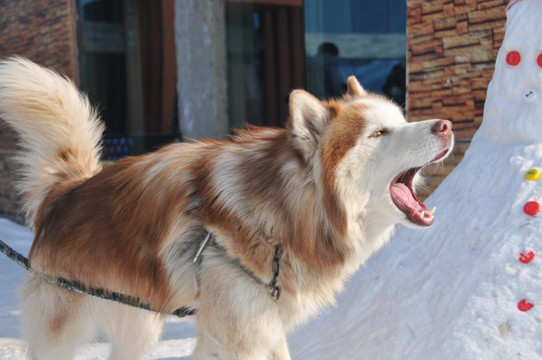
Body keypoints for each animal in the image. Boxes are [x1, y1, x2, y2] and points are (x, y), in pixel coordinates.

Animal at [0, 57, 454, 358]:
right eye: (378, 133)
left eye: (401, 119)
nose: (446, 124)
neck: (285, 214)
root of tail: (65, 192)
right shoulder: (236, 334)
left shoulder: (264, 326)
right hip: (63, 329)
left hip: (138, 323)